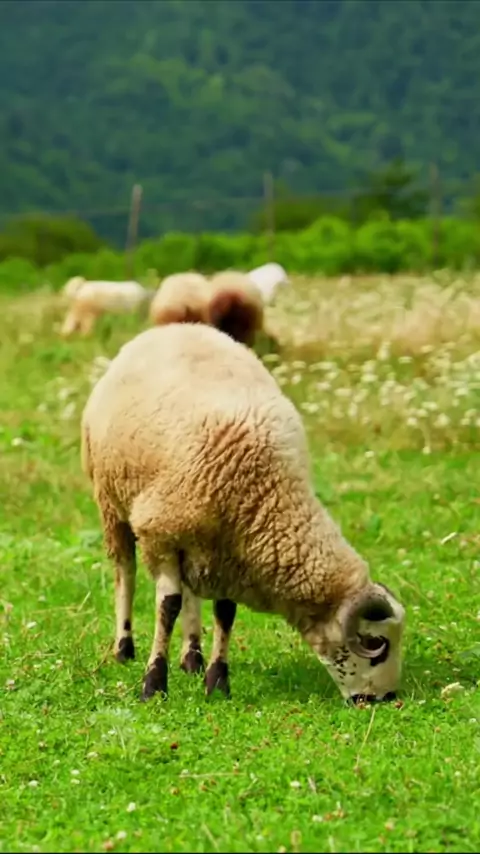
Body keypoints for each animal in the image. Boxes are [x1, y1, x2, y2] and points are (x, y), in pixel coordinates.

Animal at [81, 322, 406, 705]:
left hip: (195, 541)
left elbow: (224, 613)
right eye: (376, 644)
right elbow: (167, 607)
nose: (385, 698)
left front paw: (217, 680)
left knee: (190, 592)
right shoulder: (161, 535)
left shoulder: (230, 553)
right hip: (112, 502)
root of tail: (173, 327)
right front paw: (153, 684)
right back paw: (124, 646)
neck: (266, 493)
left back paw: (192, 656)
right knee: (125, 572)